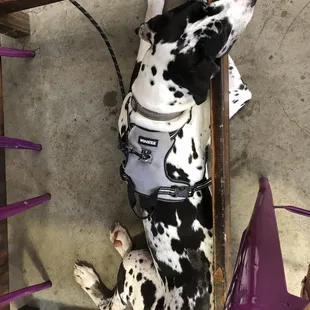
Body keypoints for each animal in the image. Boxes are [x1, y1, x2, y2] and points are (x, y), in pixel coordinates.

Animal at [74, 0, 256, 308]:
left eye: (203, 5)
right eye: (219, 31)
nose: (250, 2)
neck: (155, 116)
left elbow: (144, 38)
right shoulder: (231, 98)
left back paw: (120, 242)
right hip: (136, 267)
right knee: (107, 300)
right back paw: (90, 275)